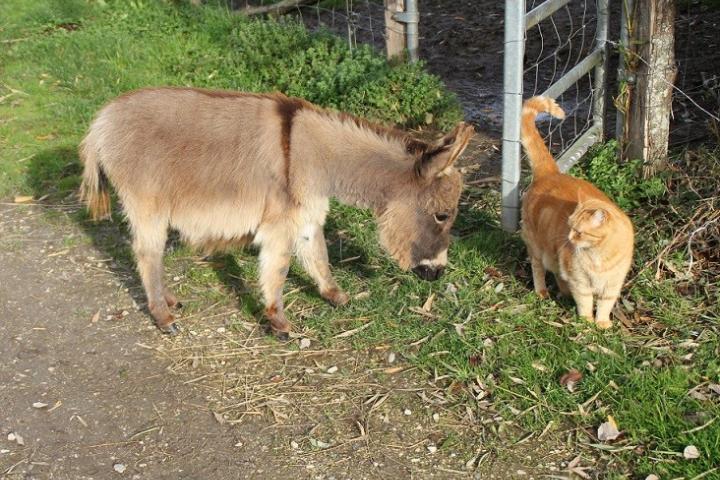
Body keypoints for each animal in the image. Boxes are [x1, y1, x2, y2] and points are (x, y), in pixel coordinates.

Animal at [520, 97, 632, 330]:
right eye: (570, 226)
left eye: (579, 232)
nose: (569, 239)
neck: (599, 256)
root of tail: (551, 172)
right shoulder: (580, 282)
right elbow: (585, 301)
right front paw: (587, 321)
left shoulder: (613, 284)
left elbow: (606, 304)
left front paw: (602, 323)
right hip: (537, 249)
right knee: (538, 268)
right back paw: (542, 292)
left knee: (557, 274)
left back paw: (562, 293)